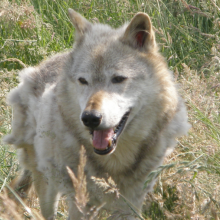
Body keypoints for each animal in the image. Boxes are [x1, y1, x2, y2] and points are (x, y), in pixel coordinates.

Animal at [3, 8, 190, 220]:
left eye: (118, 79)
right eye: (83, 81)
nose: (90, 118)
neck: (115, 161)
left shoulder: (131, 203)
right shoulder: (81, 203)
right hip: (46, 182)